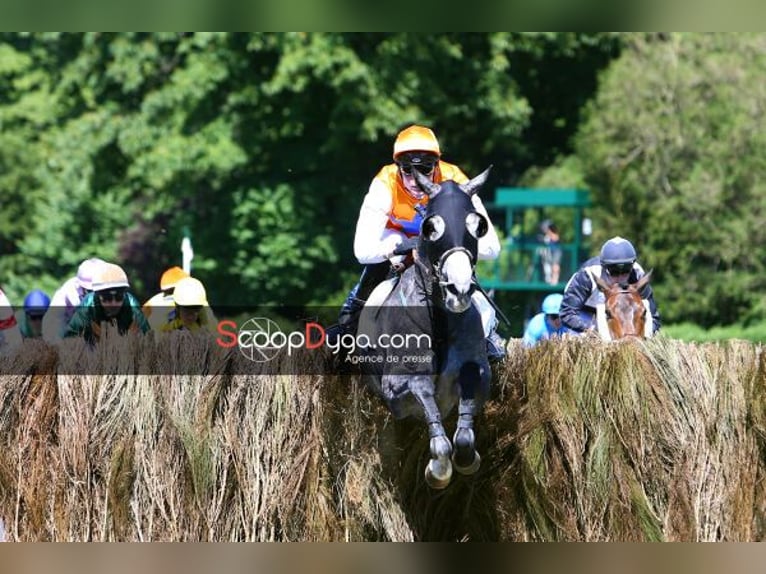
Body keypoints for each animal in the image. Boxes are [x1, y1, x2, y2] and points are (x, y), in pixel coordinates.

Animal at [358, 166, 496, 490]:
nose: (460, 289)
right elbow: (432, 418)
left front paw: (466, 459)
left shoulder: (476, 371)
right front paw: (438, 470)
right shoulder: (400, 386)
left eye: (477, 226)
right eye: (431, 227)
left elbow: (463, 438)